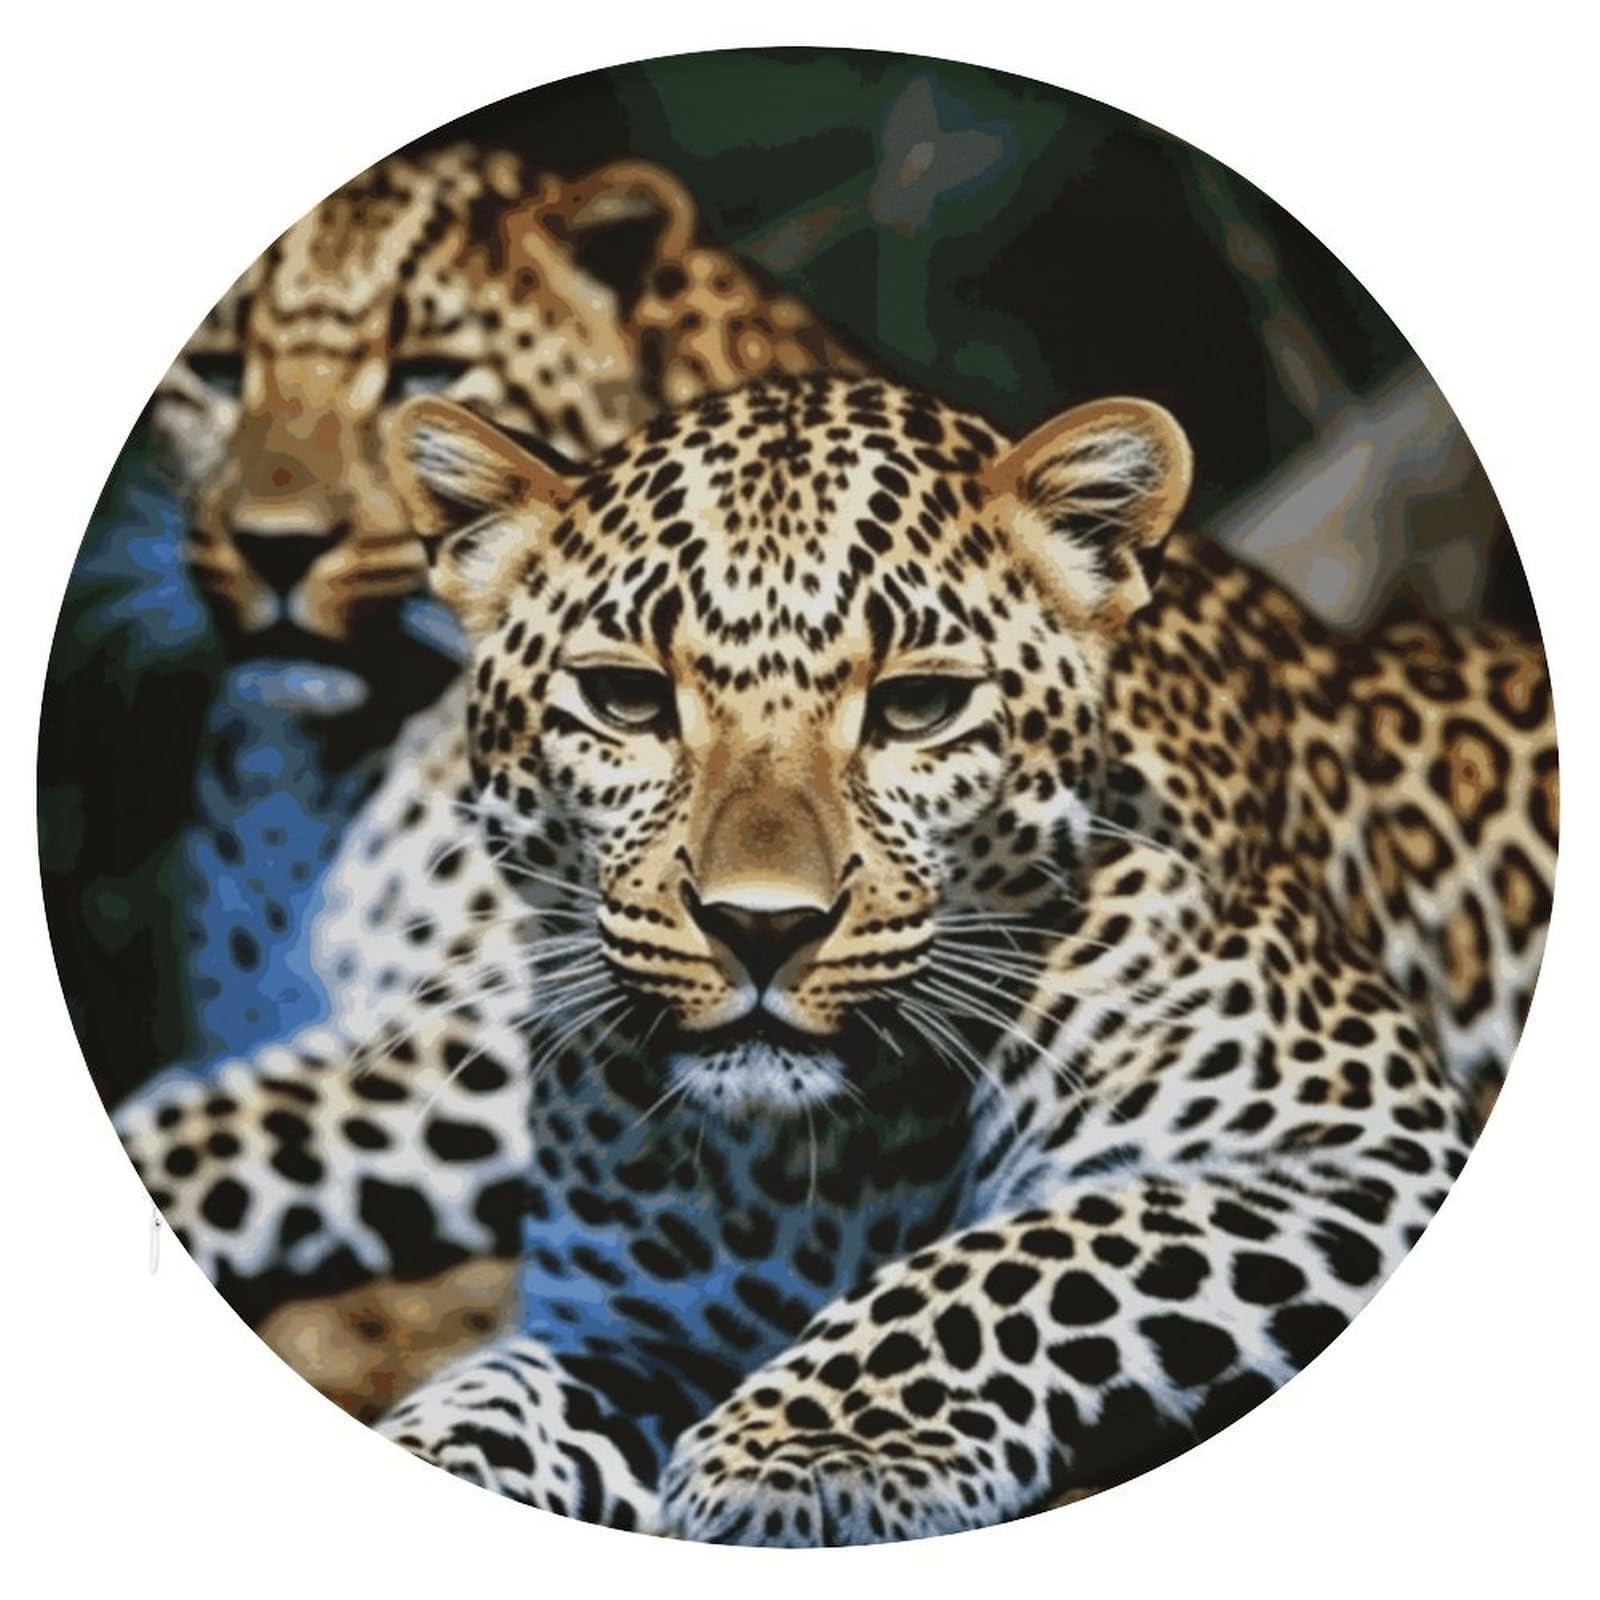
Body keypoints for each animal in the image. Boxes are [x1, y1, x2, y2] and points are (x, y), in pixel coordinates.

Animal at [135, 369, 1549, 1541]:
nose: (761, 924)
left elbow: (1030, 1249)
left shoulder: (1362, 1142)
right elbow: (488, 1398)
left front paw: (804, 1449)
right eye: (626, 698)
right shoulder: (625, 1326)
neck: (820, 1164)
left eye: (919, 707)